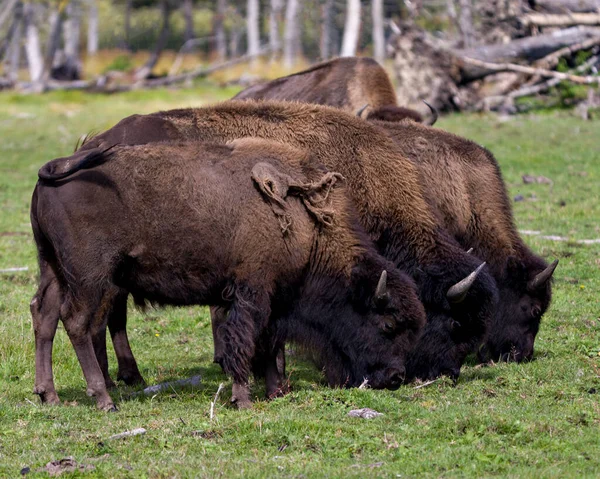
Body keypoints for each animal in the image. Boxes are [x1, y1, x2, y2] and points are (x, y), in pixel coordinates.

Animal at [31, 138, 426, 408]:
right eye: (387, 324)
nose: (396, 377)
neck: (310, 226)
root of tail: (54, 168)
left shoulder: (274, 297)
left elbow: (267, 343)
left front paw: (274, 391)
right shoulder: (251, 291)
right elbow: (243, 341)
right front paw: (243, 398)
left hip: (52, 267)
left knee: (44, 316)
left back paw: (49, 395)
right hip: (90, 278)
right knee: (77, 323)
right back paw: (103, 399)